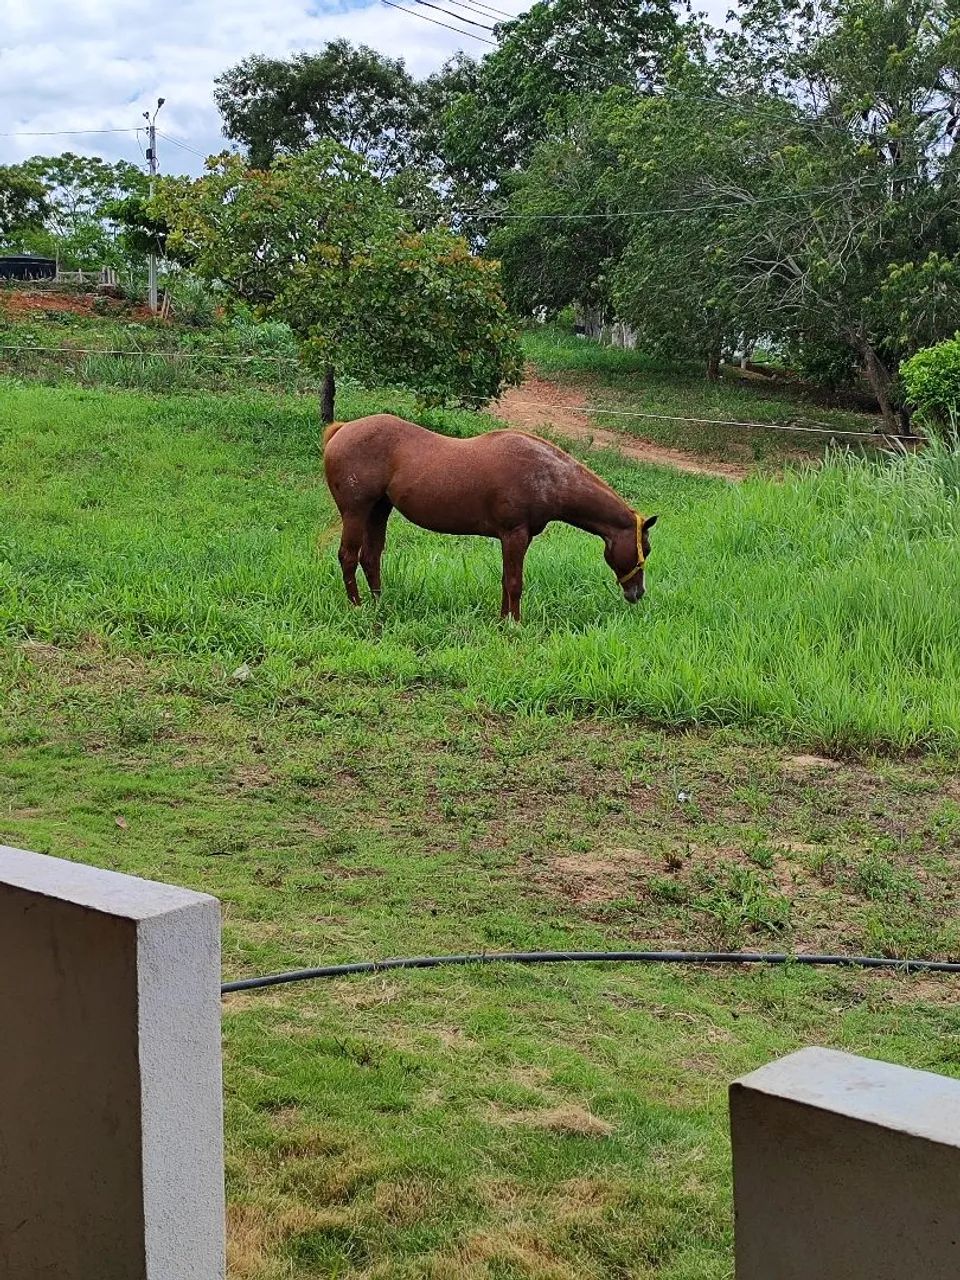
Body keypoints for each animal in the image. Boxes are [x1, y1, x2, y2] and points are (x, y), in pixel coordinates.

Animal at [323, 414, 658, 621]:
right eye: (646, 549)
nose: (638, 593)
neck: (546, 475)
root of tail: (341, 429)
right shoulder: (515, 535)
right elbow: (515, 583)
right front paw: (516, 625)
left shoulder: (514, 539)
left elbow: (504, 581)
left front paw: (502, 620)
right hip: (355, 512)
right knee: (348, 557)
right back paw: (357, 607)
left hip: (378, 511)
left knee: (371, 558)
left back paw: (379, 604)